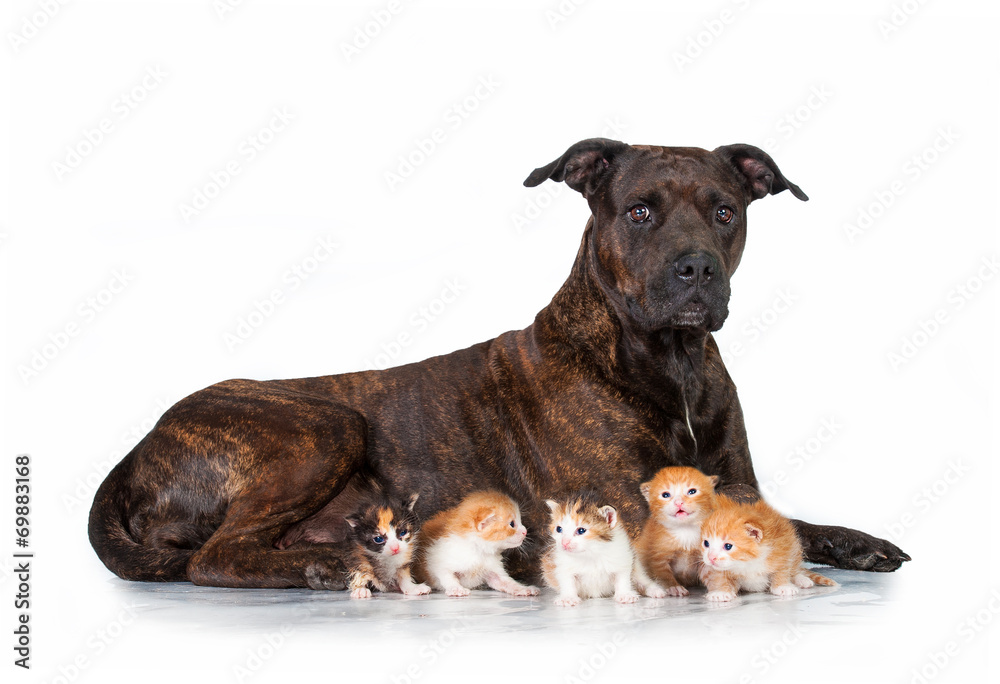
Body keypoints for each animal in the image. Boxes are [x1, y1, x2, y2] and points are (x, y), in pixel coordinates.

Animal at [636, 466, 719, 597]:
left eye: (692, 492)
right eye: (665, 495)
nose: (678, 502)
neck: (684, 529)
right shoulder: (658, 557)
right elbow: (663, 575)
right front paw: (674, 587)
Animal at [699, 496, 837, 601]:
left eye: (728, 546)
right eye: (706, 543)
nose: (711, 558)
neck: (748, 562)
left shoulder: (783, 546)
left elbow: (782, 569)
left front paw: (782, 587)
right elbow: (719, 576)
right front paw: (721, 592)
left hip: (795, 547)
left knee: (795, 568)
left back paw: (801, 579)